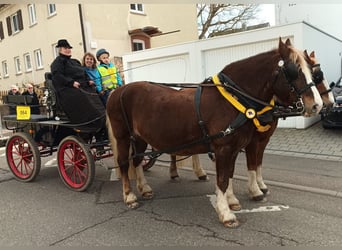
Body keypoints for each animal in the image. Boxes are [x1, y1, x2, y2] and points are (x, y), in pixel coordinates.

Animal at [107, 38, 324, 228]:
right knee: (124, 163)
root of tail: (118, 91)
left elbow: (230, 174)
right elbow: (222, 179)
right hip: (123, 136)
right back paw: (129, 196)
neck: (234, 99)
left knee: (137, 160)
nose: (317, 105)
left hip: (140, 137)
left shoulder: (235, 149)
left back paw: (145, 188)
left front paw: (232, 200)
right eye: (293, 71)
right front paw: (226, 212)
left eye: (312, 71)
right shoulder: (224, 148)